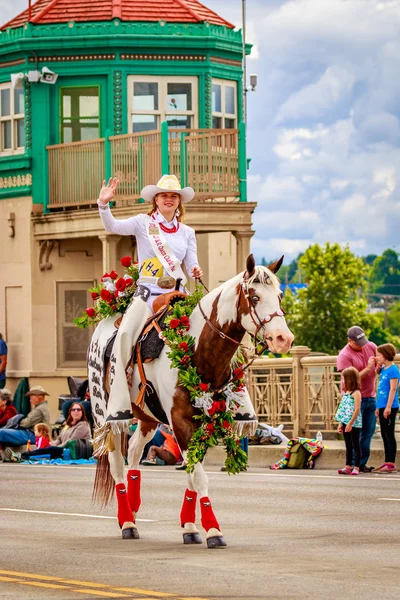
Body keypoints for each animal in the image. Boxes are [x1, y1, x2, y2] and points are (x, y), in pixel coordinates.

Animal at [90, 253, 294, 548]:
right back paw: (127, 521)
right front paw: (213, 530)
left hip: (146, 417)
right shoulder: (180, 421)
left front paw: (189, 526)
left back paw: (133, 508)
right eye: (255, 297)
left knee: (135, 453)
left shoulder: (205, 422)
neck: (199, 351)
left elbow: (191, 474)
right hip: (109, 416)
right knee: (117, 463)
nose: (283, 339)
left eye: (279, 296)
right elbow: (198, 476)